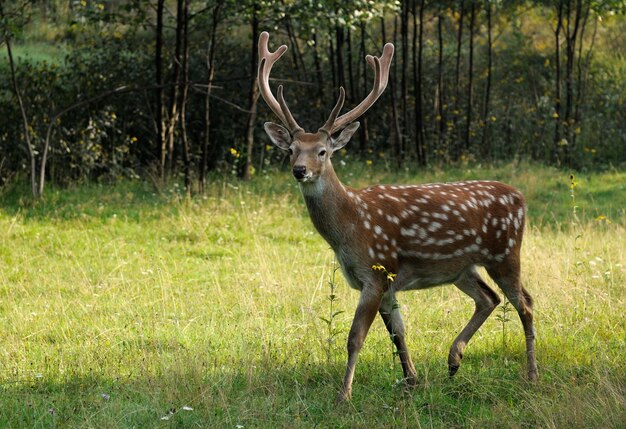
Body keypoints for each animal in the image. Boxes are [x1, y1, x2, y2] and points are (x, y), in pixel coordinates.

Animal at [256, 31, 532, 402]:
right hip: (462, 268)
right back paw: (453, 360)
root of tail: (521, 199)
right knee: (489, 298)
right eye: (291, 150)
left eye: (323, 151)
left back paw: (530, 375)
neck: (350, 227)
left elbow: (355, 337)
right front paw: (411, 380)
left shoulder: (377, 270)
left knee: (525, 303)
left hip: (505, 252)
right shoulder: (385, 282)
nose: (300, 170)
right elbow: (397, 332)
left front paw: (344, 395)